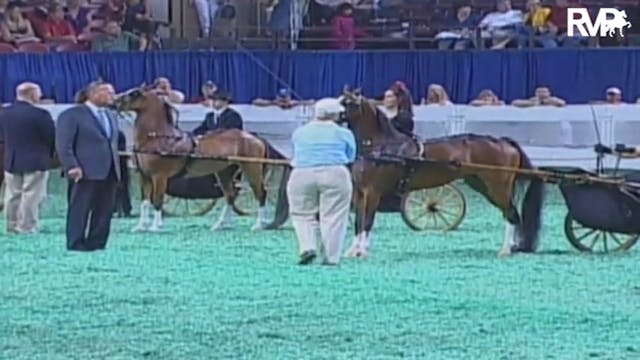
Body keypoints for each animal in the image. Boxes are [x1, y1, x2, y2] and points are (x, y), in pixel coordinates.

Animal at [114, 87, 282, 233]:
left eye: (135, 93)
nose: (114, 101)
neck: (157, 138)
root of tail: (255, 137)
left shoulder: (159, 177)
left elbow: (157, 200)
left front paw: (156, 227)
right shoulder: (145, 176)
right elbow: (145, 201)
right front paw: (141, 227)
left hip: (252, 168)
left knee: (261, 193)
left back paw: (258, 225)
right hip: (224, 172)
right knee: (230, 195)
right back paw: (220, 225)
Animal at [342, 88, 544, 258]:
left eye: (349, 103)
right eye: (341, 100)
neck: (383, 147)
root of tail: (504, 142)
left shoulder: (373, 192)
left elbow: (367, 221)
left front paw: (361, 252)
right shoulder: (361, 192)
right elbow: (358, 221)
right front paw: (353, 250)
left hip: (498, 187)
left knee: (511, 214)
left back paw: (506, 250)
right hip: (481, 184)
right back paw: (512, 247)